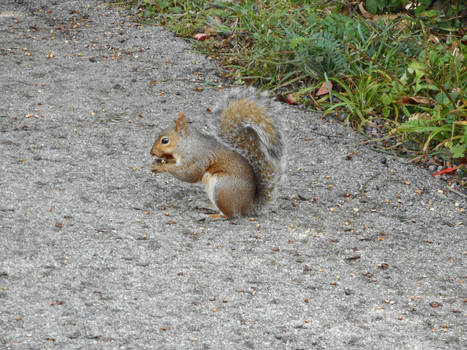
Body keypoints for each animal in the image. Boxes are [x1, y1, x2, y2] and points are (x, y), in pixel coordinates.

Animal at [152, 87, 288, 217]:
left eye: (165, 140)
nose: (151, 152)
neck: (187, 145)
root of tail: (247, 206)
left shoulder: (197, 158)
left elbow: (188, 174)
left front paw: (162, 167)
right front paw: (159, 161)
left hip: (222, 187)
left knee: (229, 214)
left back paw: (212, 216)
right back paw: (205, 205)